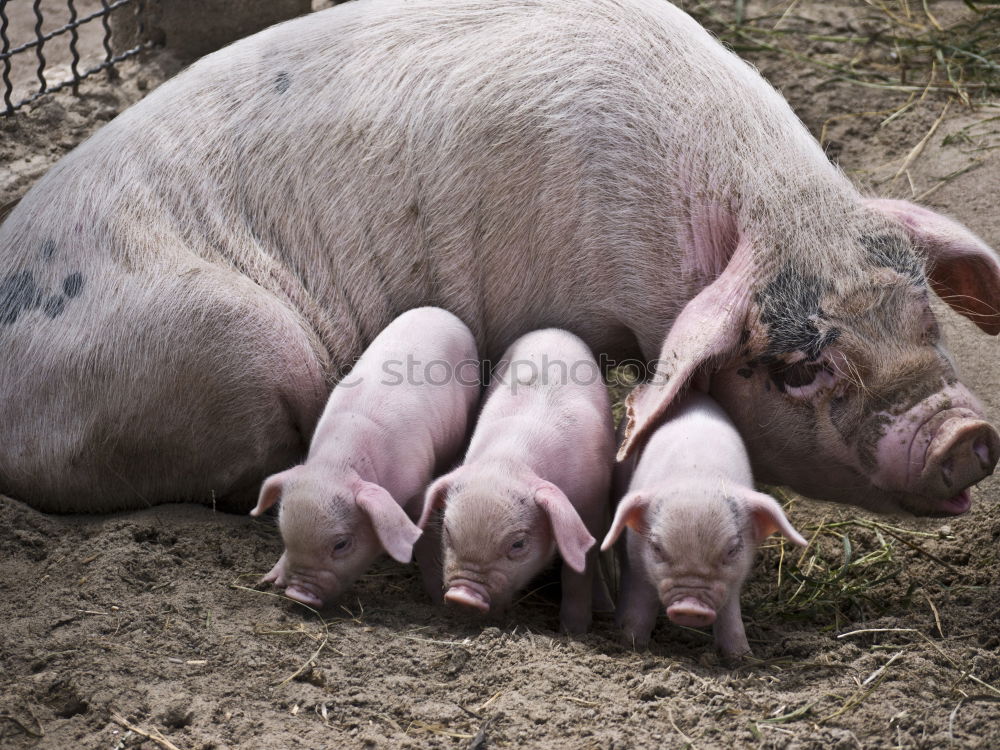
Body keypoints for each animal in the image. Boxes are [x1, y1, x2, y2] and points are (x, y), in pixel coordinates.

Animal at [254, 308, 480, 608]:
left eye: (341, 544)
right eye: (285, 535)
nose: (296, 594)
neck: (338, 465)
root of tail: (440, 312)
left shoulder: (416, 485)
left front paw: (437, 598)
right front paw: (268, 579)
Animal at [416, 330, 616, 636]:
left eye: (518, 544)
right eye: (448, 532)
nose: (463, 596)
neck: (509, 462)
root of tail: (552, 330)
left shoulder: (591, 505)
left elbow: (579, 570)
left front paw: (574, 632)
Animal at [604, 394, 808, 656]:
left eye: (731, 550)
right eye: (657, 548)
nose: (691, 607)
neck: (697, 475)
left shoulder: (736, 575)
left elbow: (730, 612)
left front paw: (741, 656)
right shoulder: (638, 560)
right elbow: (642, 601)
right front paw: (632, 644)